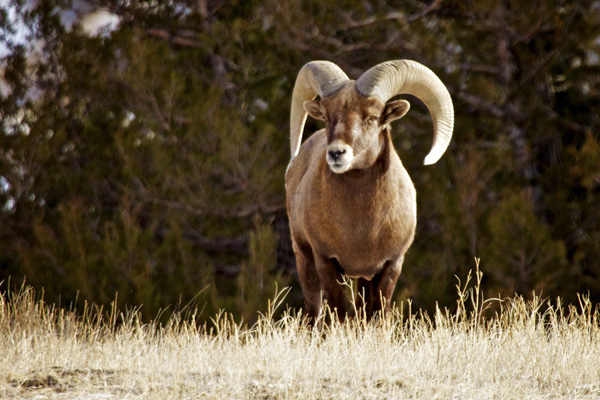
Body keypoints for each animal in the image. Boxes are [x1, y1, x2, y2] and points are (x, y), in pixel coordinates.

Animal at [286, 59, 454, 320]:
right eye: (326, 116)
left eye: (373, 118)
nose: (337, 153)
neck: (362, 229)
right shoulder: (326, 262)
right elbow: (340, 313)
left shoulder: (389, 266)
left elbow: (376, 314)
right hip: (304, 259)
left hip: (362, 280)